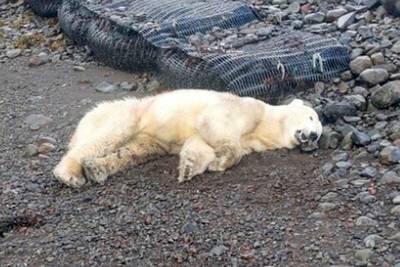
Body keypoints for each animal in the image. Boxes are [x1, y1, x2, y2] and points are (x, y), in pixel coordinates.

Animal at [52, 89, 322, 187]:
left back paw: (96, 169)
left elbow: (199, 144)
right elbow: (215, 124)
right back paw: (70, 174)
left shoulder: (250, 140)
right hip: (130, 114)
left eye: (319, 134)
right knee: (107, 137)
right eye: (311, 117)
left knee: (133, 152)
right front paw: (221, 160)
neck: (266, 124)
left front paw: (191, 167)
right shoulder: (246, 108)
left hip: (148, 139)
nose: (312, 135)